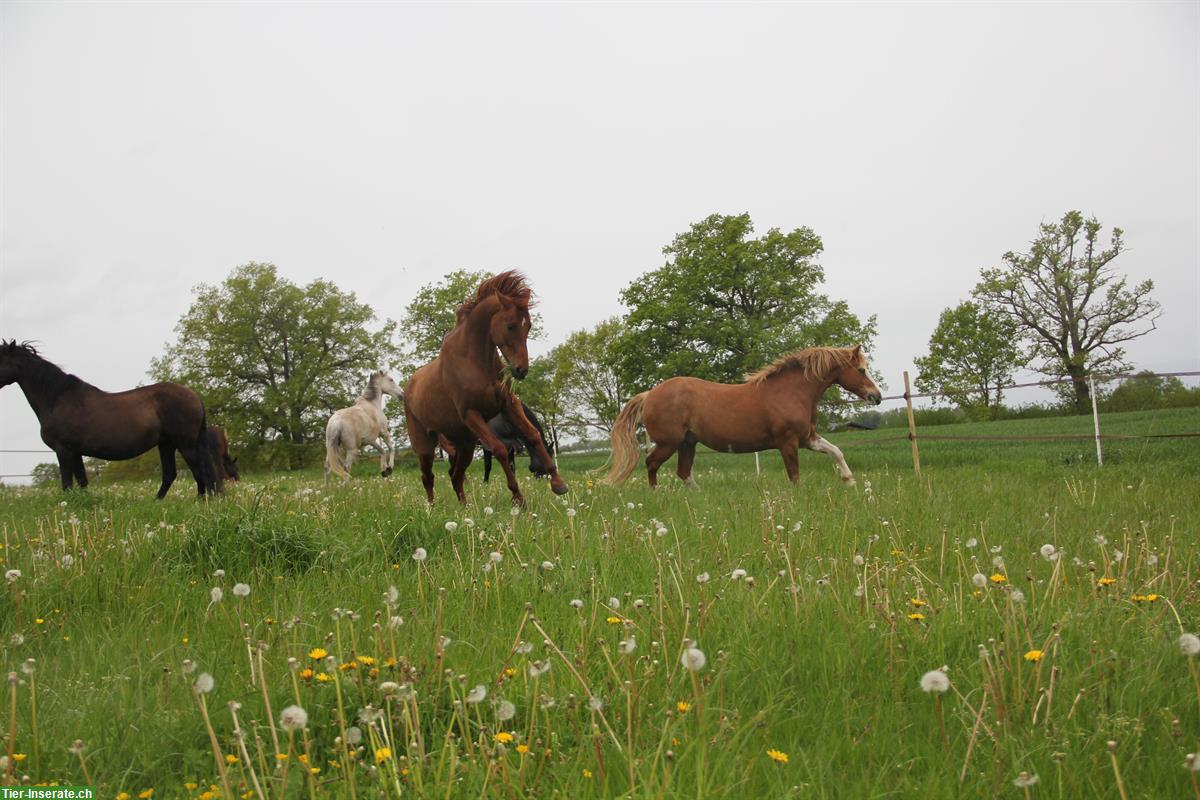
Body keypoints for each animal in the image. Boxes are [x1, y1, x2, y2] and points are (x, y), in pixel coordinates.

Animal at [0, 340, 223, 501]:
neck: (58, 399)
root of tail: (193, 395)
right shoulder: (75, 452)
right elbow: (82, 481)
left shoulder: (63, 450)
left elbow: (67, 483)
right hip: (166, 443)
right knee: (172, 474)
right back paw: (159, 501)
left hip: (185, 443)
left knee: (200, 469)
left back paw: (203, 500)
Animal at [403, 271, 566, 506]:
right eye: (511, 325)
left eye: (528, 325)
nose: (521, 370)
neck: (475, 362)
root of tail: (407, 388)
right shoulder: (472, 415)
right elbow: (499, 451)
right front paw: (518, 498)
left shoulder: (509, 404)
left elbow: (533, 435)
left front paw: (558, 484)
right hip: (425, 445)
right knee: (428, 477)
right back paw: (431, 509)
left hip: (465, 444)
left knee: (456, 475)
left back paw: (465, 508)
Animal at [604, 345, 888, 489]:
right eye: (861, 370)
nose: (876, 396)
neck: (791, 391)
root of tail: (650, 394)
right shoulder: (788, 442)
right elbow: (794, 475)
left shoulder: (807, 437)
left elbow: (836, 450)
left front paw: (849, 480)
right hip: (668, 442)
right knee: (651, 464)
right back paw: (656, 493)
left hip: (687, 442)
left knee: (683, 472)